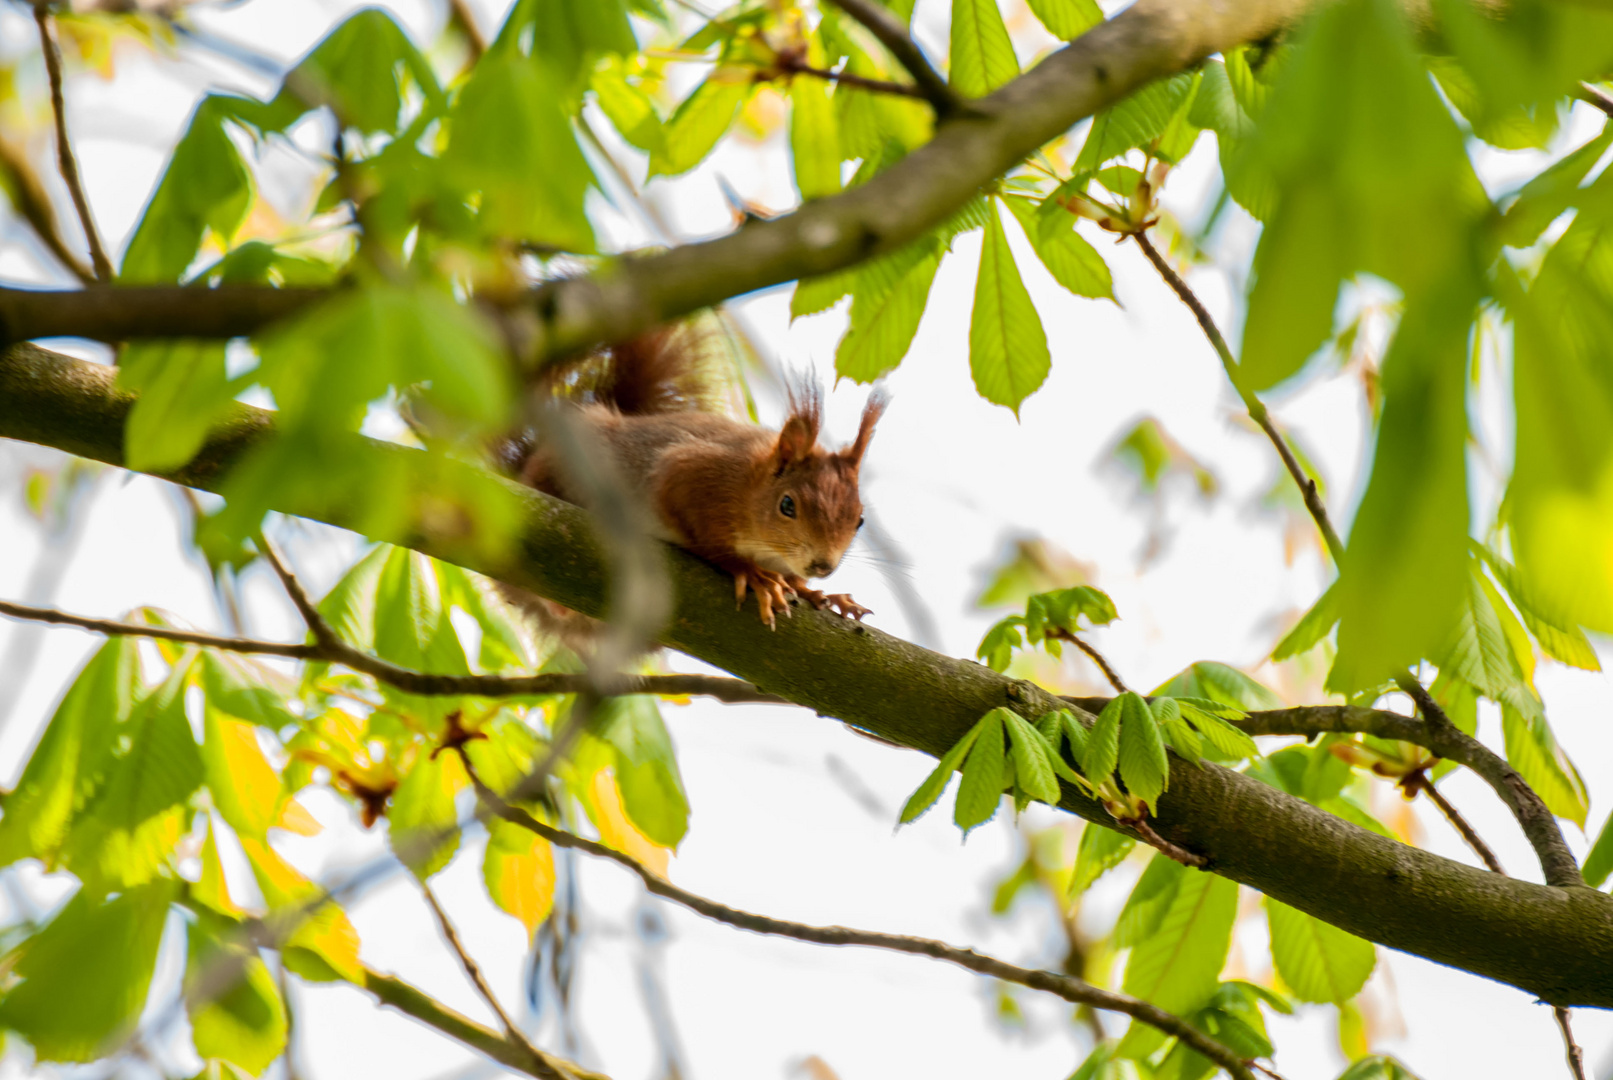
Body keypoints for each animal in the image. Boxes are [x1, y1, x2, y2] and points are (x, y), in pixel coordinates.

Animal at [503, 325, 883, 638]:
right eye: (787, 505)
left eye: (860, 520)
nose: (823, 565)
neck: (751, 483)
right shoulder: (691, 472)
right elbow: (707, 538)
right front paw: (752, 574)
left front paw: (813, 590)